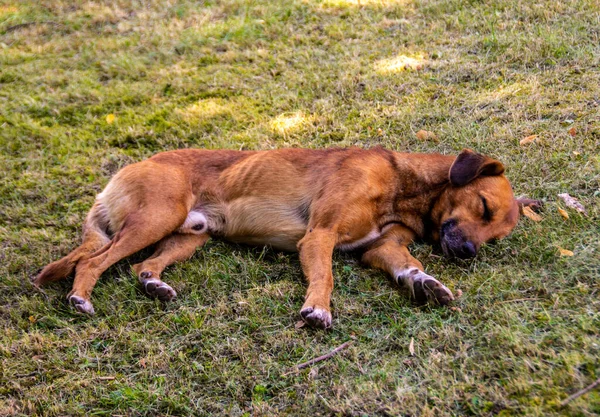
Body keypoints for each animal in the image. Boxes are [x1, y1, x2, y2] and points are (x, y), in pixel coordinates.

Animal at [34, 147, 540, 328]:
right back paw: (80, 298)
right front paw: (317, 308)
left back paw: (154, 284)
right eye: (483, 206)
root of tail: (126, 170)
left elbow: (406, 264)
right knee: (91, 260)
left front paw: (425, 282)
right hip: (156, 217)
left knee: (142, 265)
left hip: (190, 234)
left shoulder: (381, 247)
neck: (403, 187)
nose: (469, 253)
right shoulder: (319, 236)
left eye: (495, 237)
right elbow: (327, 277)